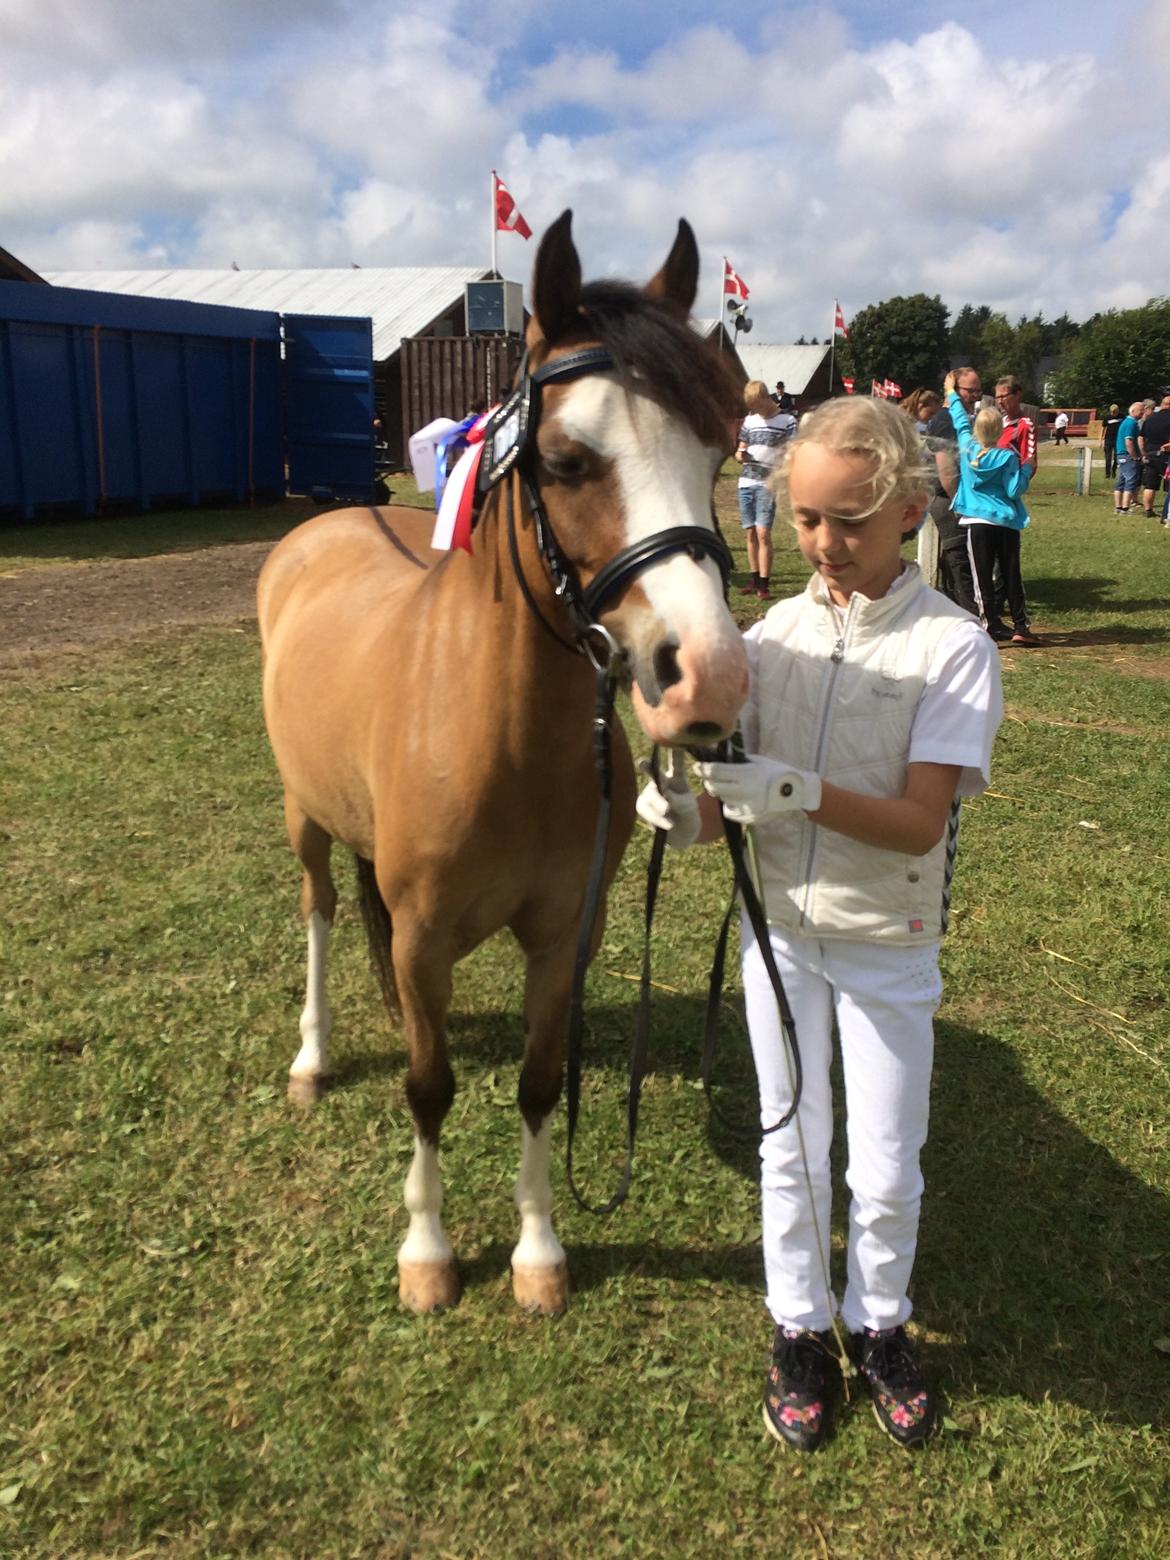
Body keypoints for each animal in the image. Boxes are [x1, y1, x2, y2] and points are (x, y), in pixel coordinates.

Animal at [257, 211, 748, 1316]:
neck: (497, 738)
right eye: (564, 461)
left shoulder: (563, 938)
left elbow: (537, 1083)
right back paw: (314, 1056)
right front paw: (429, 1253)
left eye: (718, 450)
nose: (707, 678)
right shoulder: (428, 940)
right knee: (319, 912)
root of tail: (330, 521)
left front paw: (538, 1253)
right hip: (303, 820)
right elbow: (428, 1089)